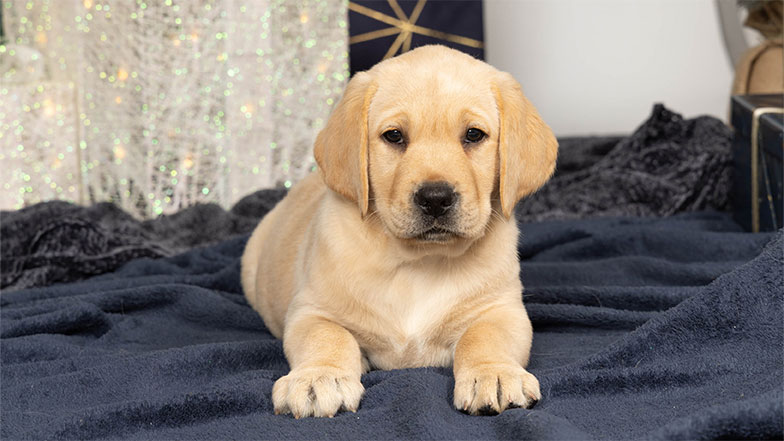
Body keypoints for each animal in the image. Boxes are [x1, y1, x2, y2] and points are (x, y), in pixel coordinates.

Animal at [242, 43, 556, 416]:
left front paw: (494, 373)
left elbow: (485, 337)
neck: (418, 262)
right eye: (394, 136)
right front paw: (319, 377)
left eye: (473, 135)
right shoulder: (312, 311)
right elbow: (327, 337)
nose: (435, 198)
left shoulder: (502, 310)